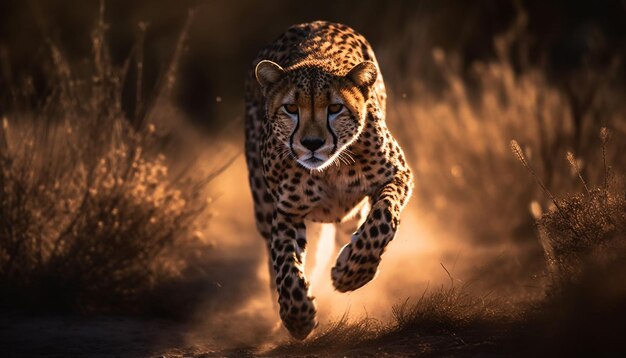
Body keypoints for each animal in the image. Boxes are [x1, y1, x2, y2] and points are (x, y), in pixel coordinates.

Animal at [243, 21, 410, 340]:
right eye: (291, 109)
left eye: (335, 109)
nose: (311, 144)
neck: (330, 169)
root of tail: (311, 23)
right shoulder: (286, 211)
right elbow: (284, 261)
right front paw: (297, 315)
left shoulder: (398, 175)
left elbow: (383, 219)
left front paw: (351, 273)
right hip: (261, 208)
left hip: (350, 214)